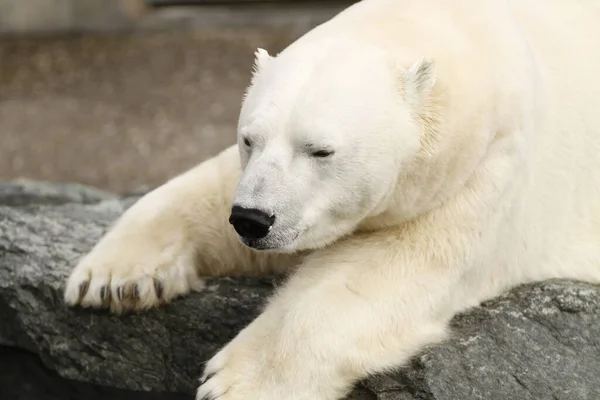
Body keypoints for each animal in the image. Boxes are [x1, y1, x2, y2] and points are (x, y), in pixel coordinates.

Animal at [63, 0, 596, 398]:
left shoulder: (483, 170)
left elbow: (377, 271)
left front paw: (235, 384)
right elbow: (207, 190)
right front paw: (112, 281)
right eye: (249, 138)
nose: (252, 219)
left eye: (320, 149)